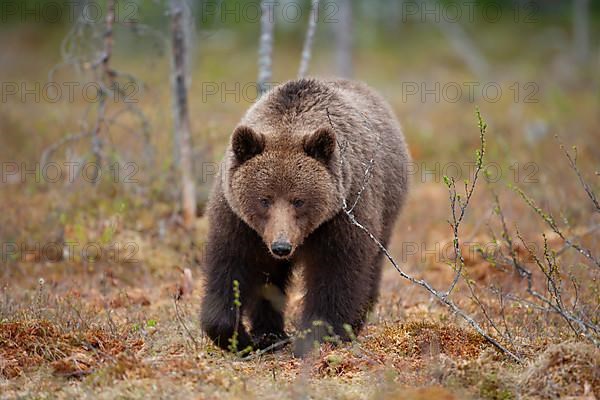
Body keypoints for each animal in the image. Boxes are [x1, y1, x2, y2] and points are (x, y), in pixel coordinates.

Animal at [199, 78, 410, 356]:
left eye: (298, 200)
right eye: (264, 199)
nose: (281, 246)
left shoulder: (343, 214)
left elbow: (336, 273)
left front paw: (315, 336)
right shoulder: (238, 220)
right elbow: (230, 268)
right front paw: (239, 338)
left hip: (387, 207)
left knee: (371, 267)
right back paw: (269, 334)